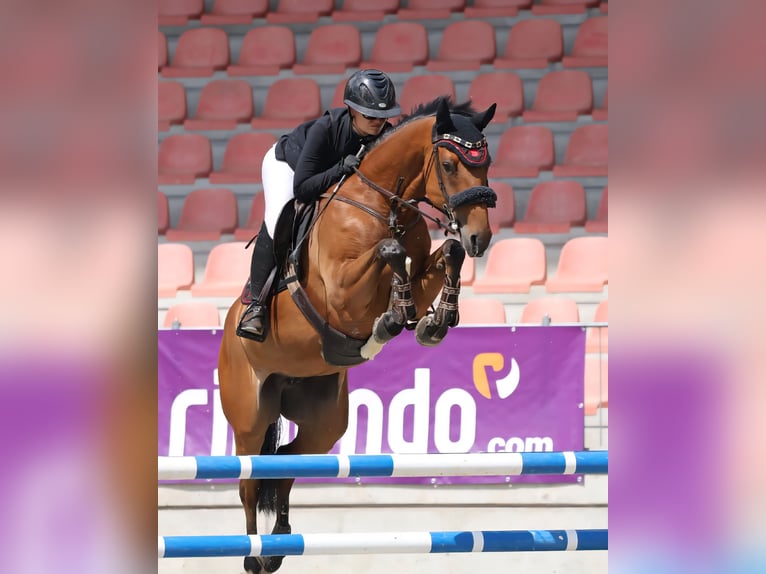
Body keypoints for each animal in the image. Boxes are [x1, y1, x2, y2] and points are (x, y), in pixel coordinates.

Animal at [218, 97, 497, 573]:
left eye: (487, 162)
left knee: (287, 462)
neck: (382, 202)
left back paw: (279, 543)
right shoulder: (341, 294)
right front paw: (395, 317)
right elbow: (389, 252)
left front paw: (432, 321)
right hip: (249, 417)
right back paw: (254, 554)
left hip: (324, 419)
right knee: (250, 481)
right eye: (448, 164)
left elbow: (444, 253)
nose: (481, 237)